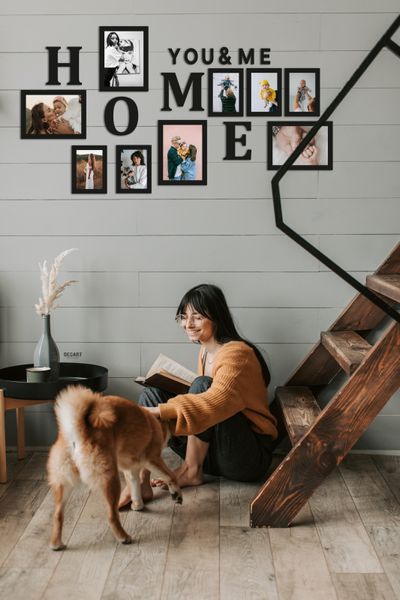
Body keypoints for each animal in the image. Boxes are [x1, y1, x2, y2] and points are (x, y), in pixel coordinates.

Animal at [47, 386, 183, 552]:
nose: (176, 439)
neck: (155, 422)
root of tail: (79, 430)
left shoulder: (131, 470)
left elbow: (135, 488)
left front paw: (137, 505)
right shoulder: (152, 459)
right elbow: (170, 476)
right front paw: (176, 494)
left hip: (63, 483)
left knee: (57, 515)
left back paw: (56, 543)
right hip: (110, 480)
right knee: (111, 516)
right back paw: (123, 537)